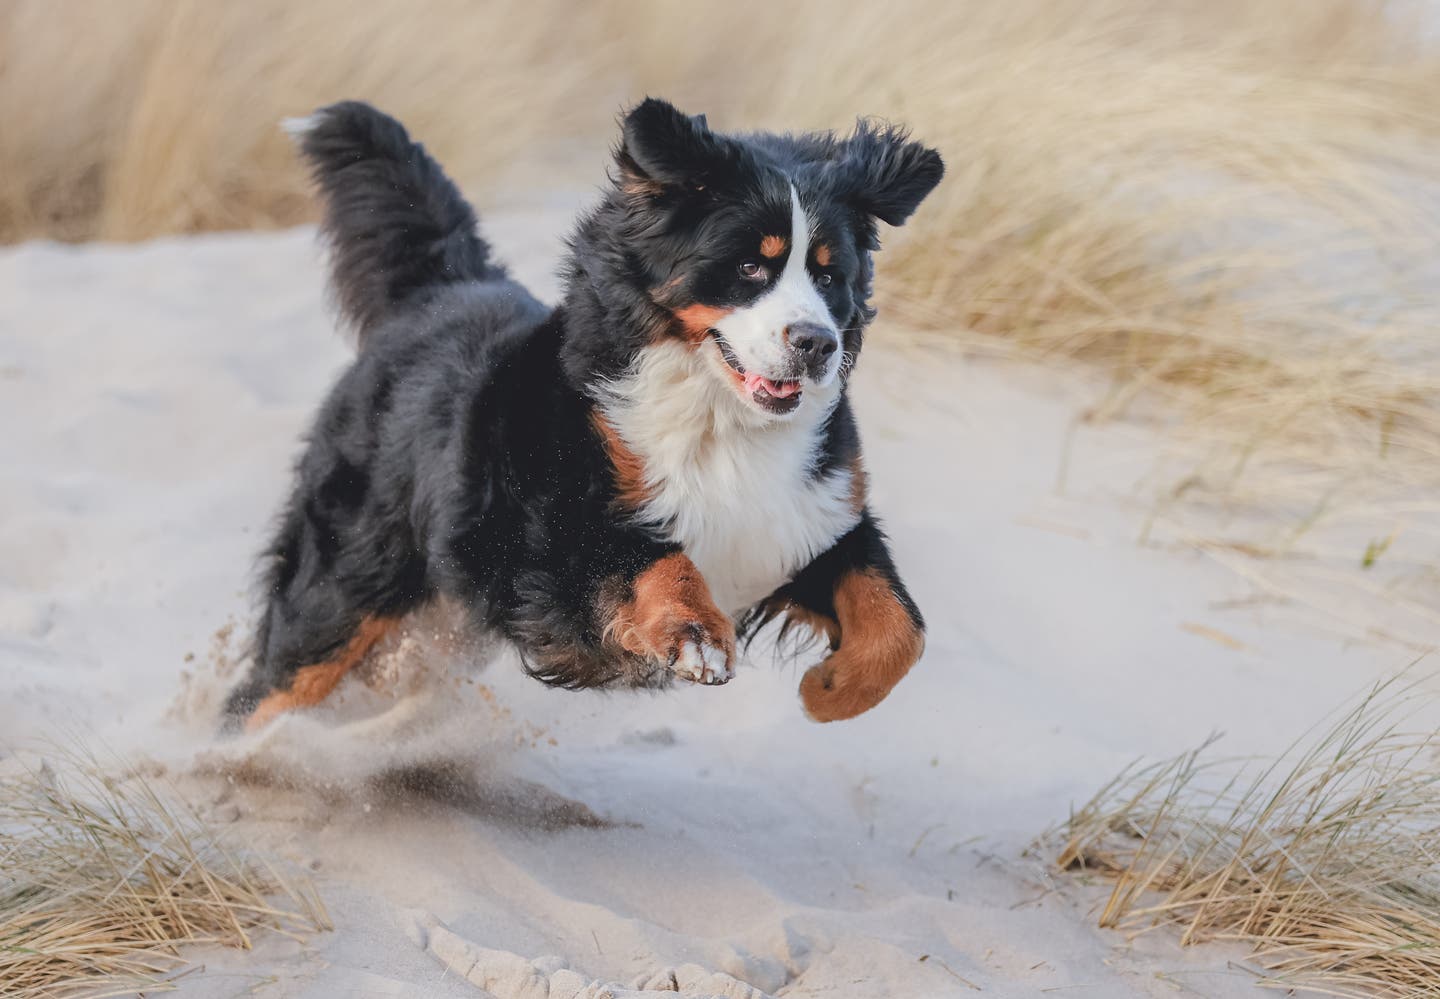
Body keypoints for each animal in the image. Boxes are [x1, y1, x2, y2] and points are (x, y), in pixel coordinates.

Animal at [221, 97, 944, 731]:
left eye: (829, 275)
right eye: (748, 267)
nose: (817, 343)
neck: (721, 422)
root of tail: (441, 292)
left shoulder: (813, 513)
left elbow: (899, 624)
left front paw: (832, 690)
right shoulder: (559, 527)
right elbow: (661, 560)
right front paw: (699, 636)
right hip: (351, 573)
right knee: (277, 682)